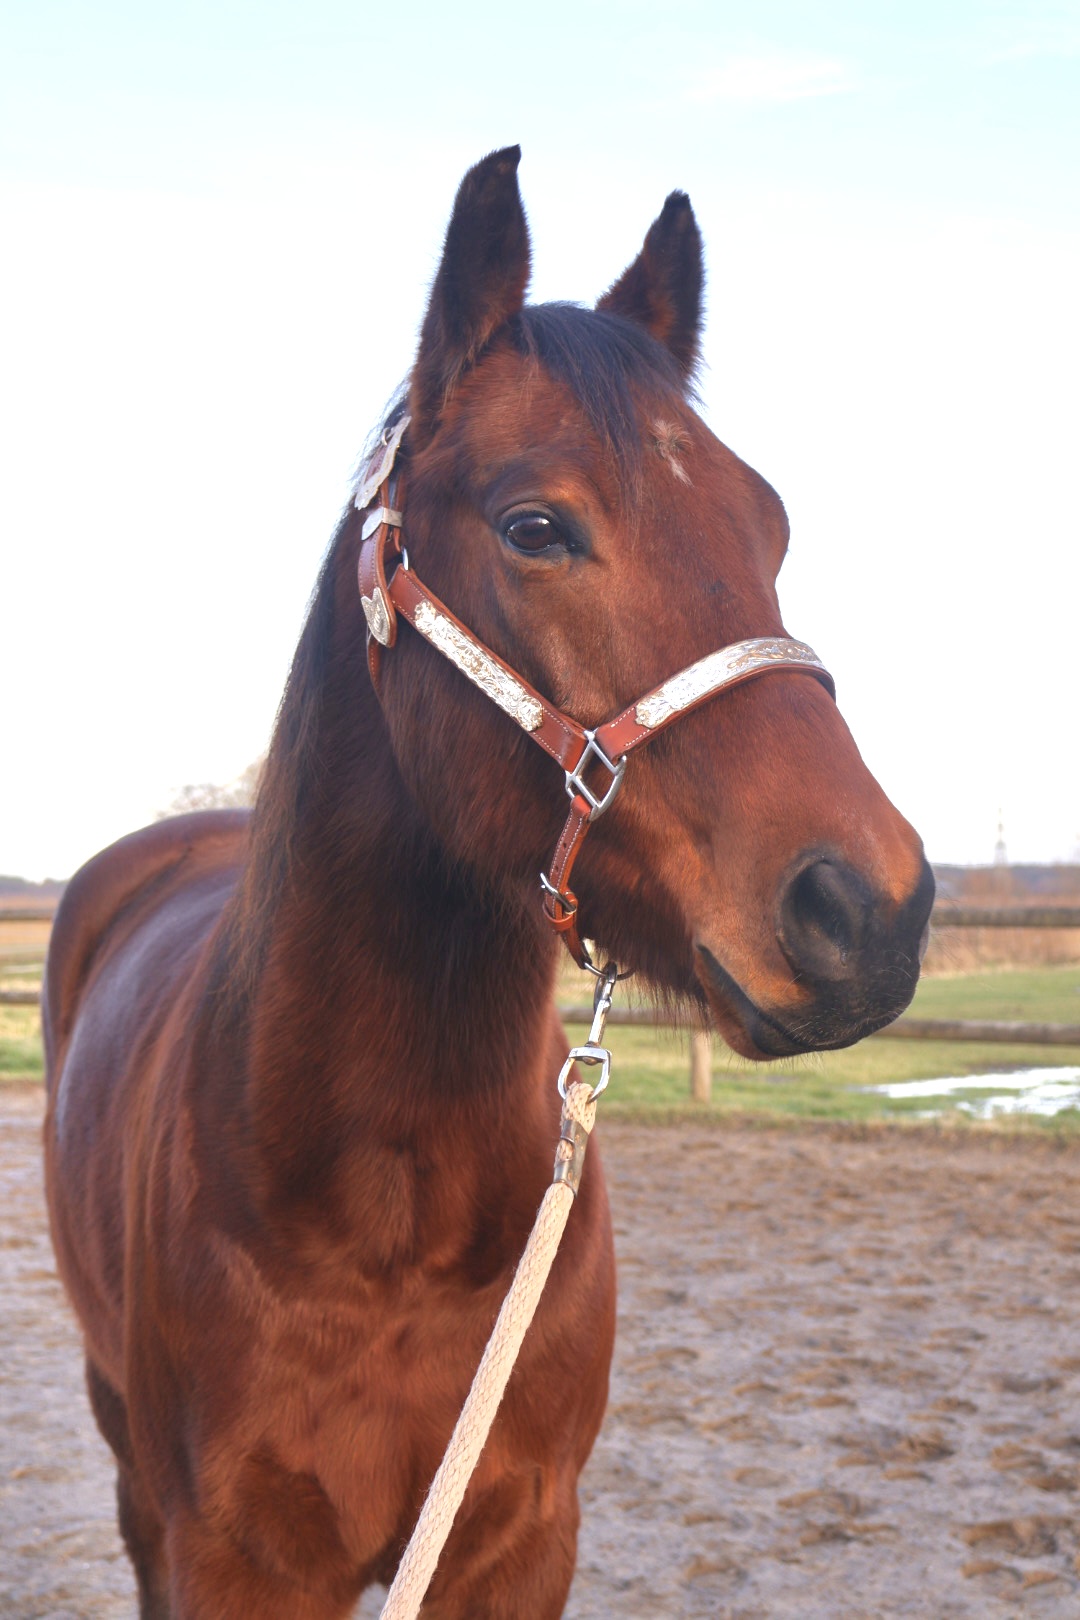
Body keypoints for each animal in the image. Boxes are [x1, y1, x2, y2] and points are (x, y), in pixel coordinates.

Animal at [42, 146, 934, 1619]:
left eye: (770, 521)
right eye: (535, 525)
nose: (873, 913)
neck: (388, 1225)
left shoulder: (519, 1539)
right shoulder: (226, 1552)